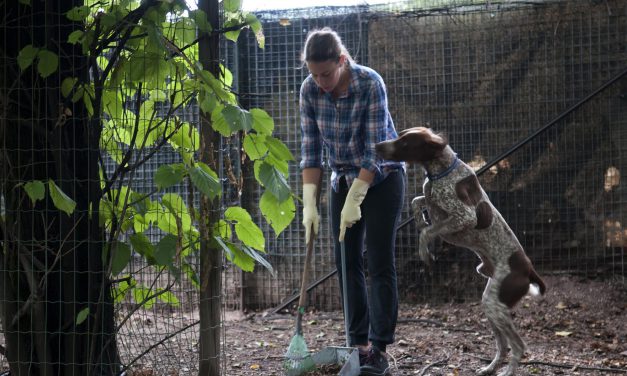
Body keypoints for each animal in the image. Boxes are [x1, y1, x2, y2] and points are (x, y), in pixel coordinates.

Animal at [376, 127, 548, 376]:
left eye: (406, 143)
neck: (441, 171)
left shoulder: (464, 216)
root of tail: (529, 270)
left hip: (496, 304)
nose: (377, 146)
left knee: (518, 345)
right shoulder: (431, 201)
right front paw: (420, 219)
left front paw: (425, 253)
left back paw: (507, 371)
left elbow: (427, 232)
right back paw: (490, 367)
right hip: (491, 304)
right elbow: (418, 202)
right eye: (401, 135)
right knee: (503, 345)